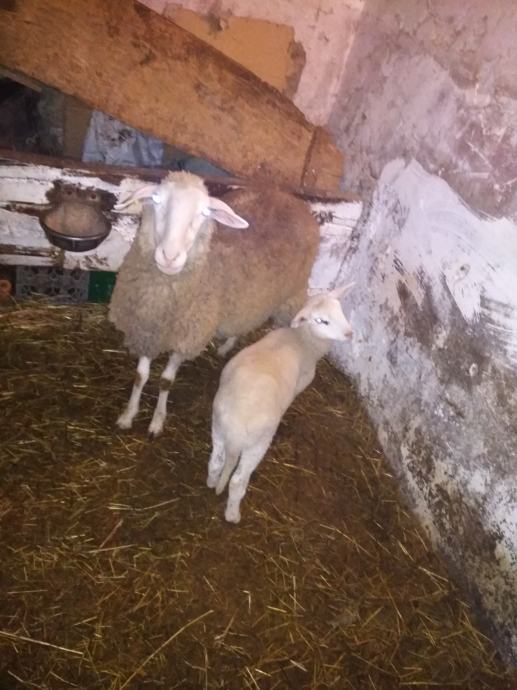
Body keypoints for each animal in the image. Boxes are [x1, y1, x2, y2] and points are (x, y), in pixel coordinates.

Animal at [109, 172, 320, 436]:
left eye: (204, 212)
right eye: (156, 200)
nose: (169, 256)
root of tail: (290, 197)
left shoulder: (187, 338)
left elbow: (166, 381)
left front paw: (157, 421)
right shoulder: (146, 330)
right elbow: (140, 376)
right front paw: (128, 415)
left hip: (291, 296)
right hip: (247, 299)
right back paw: (226, 346)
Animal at [206, 284, 354, 523]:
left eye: (340, 310)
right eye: (322, 321)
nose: (350, 334)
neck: (302, 340)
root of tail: (235, 433)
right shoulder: (301, 384)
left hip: (218, 427)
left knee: (216, 461)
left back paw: (211, 482)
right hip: (257, 444)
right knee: (237, 480)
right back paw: (233, 514)